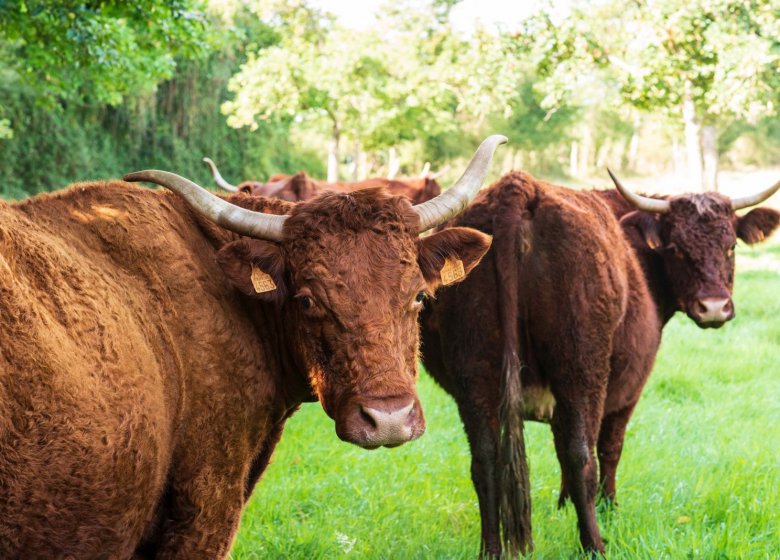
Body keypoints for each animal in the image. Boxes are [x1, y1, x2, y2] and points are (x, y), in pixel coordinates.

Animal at [420, 171, 780, 556]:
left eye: (731, 247)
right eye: (676, 248)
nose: (714, 307)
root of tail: (519, 187)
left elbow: (558, 448)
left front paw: (563, 505)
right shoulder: (627, 392)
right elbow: (609, 447)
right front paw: (609, 507)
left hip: (475, 372)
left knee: (485, 459)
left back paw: (491, 550)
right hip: (581, 369)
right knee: (582, 457)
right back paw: (594, 545)